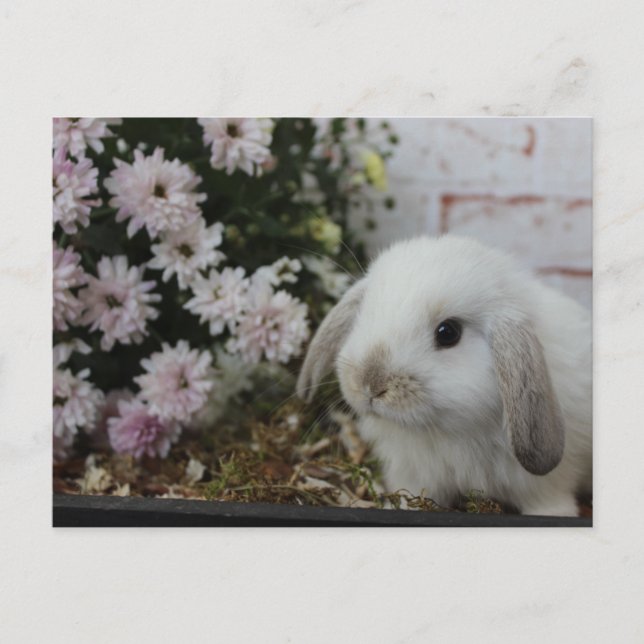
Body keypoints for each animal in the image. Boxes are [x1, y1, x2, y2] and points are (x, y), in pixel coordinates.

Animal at [297, 235, 592, 516]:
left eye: (448, 333)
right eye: (363, 315)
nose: (370, 383)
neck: (447, 432)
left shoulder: (545, 482)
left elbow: (549, 500)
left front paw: (558, 514)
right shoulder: (416, 473)